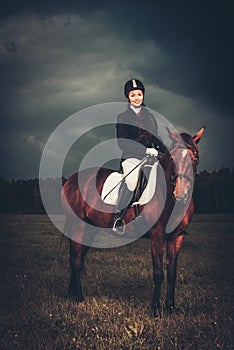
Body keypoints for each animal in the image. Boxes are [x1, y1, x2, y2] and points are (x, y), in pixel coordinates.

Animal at [60, 126, 205, 318]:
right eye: (173, 158)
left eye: (195, 158)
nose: (180, 192)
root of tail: (70, 180)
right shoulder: (157, 235)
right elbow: (158, 273)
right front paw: (155, 309)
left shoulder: (177, 237)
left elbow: (172, 273)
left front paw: (171, 307)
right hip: (78, 226)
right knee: (76, 260)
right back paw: (78, 298)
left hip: (89, 229)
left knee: (78, 257)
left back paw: (71, 293)